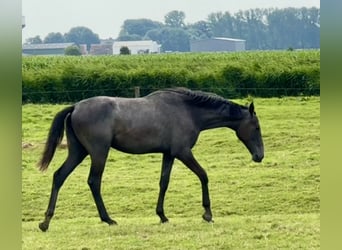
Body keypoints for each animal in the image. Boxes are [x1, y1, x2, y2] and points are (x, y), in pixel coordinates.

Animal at [36, 87, 264, 231]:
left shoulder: (169, 154)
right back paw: (108, 219)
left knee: (59, 176)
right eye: (256, 127)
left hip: (78, 152)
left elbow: (164, 182)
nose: (259, 156)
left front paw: (162, 215)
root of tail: (75, 107)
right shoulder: (183, 152)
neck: (189, 112)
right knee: (94, 181)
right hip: (98, 153)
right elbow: (203, 175)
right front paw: (207, 214)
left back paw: (46, 221)